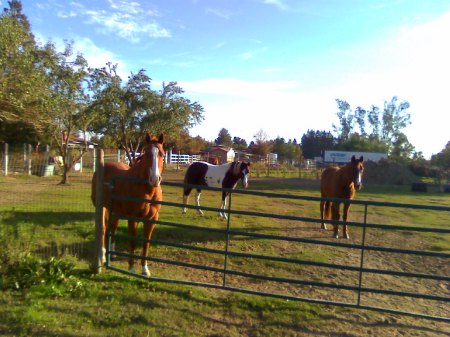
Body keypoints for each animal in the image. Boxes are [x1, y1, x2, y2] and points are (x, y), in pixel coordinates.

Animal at [90, 133, 164, 274]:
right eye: (146, 154)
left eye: (162, 154)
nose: (154, 179)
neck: (146, 190)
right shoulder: (132, 218)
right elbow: (133, 241)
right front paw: (131, 268)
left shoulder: (152, 218)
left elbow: (146, 242)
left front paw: (145, 269)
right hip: (102, 208)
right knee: (103, 229)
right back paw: (102, 256)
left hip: (115, 211)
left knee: (112, 228)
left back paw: (112, 254)